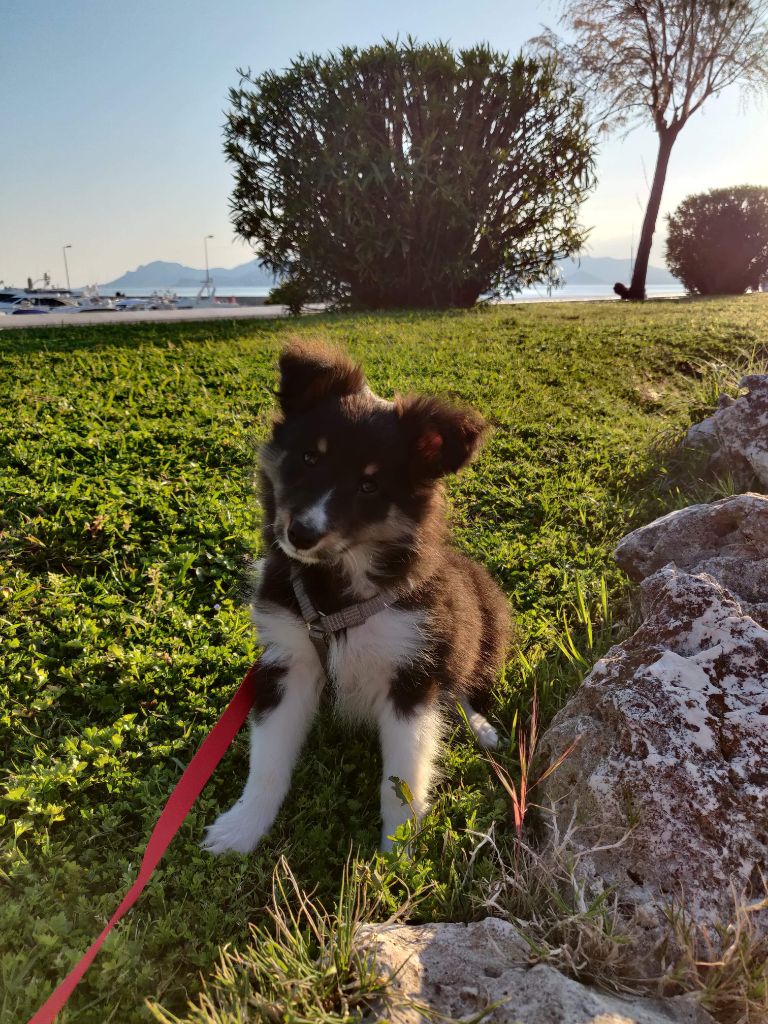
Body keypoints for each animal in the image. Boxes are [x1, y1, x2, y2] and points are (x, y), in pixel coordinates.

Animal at [204, 339, 512, 851]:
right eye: (309, 458)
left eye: (369, 486)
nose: (301, 534)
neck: (336, 592)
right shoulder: (287, 660)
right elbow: (267, 761)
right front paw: (242, 828)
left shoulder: (412, 677)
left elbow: (402, 780)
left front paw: (397, 854)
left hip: (482, 635)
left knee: (463, 691)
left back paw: (482, 728)